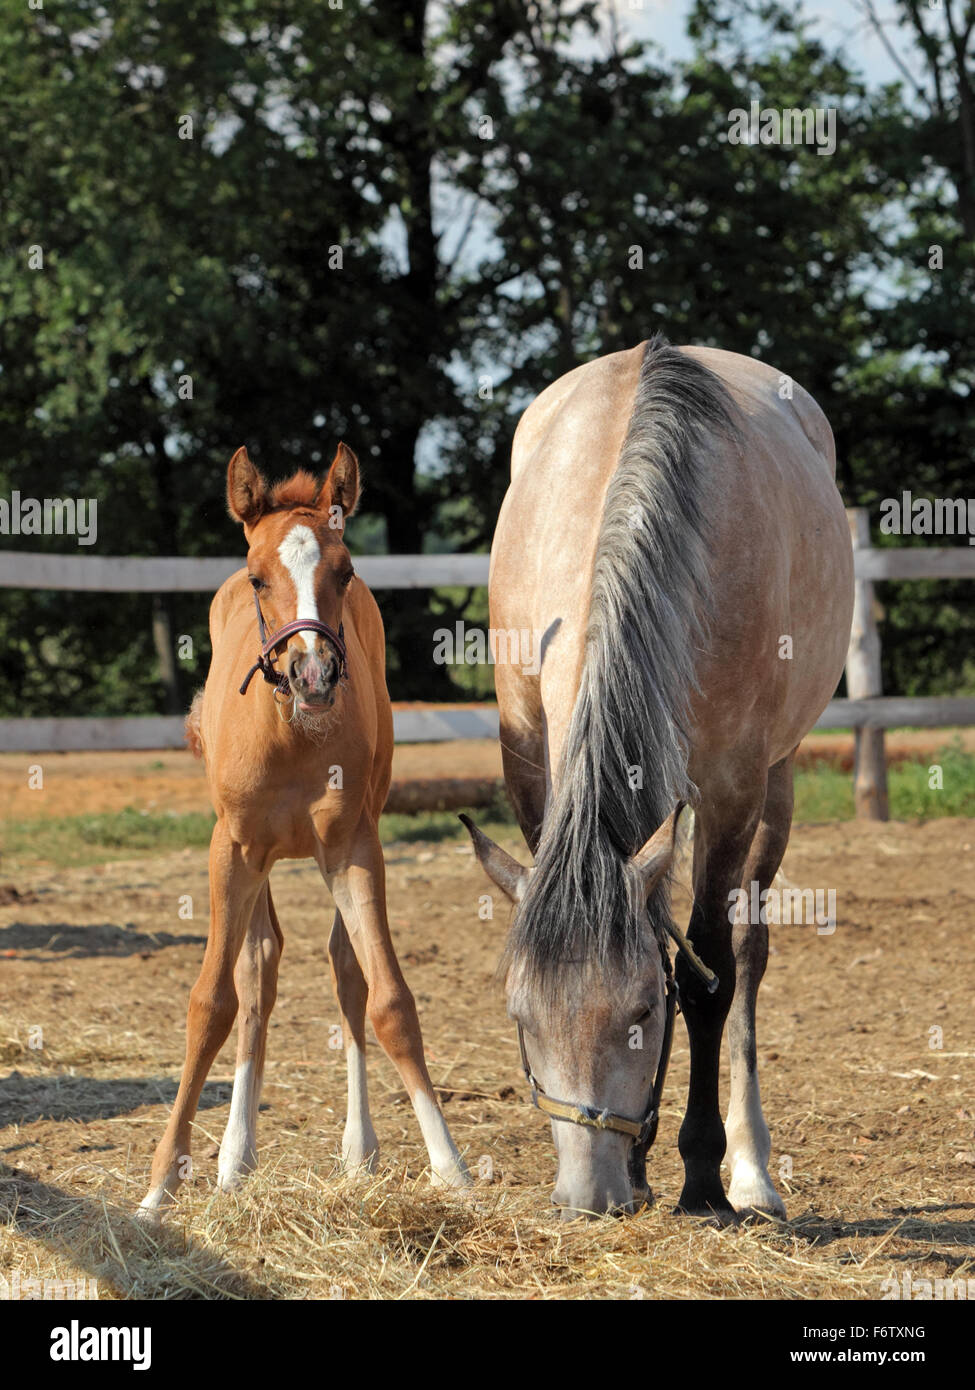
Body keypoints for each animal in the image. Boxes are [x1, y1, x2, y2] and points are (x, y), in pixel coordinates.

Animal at [139, 444, 470, 1217]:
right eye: (260, 576)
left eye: (343, 572)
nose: (313, 674)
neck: (290, 735)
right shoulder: (231, 849)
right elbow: (212, 1002)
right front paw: (161, 1183)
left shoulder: (353, 846)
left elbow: (389, 1000)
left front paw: (452, 1170)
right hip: (255, 858)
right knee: (258, 968)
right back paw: (235, 1158)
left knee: (343, 969)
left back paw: (358, 1149)